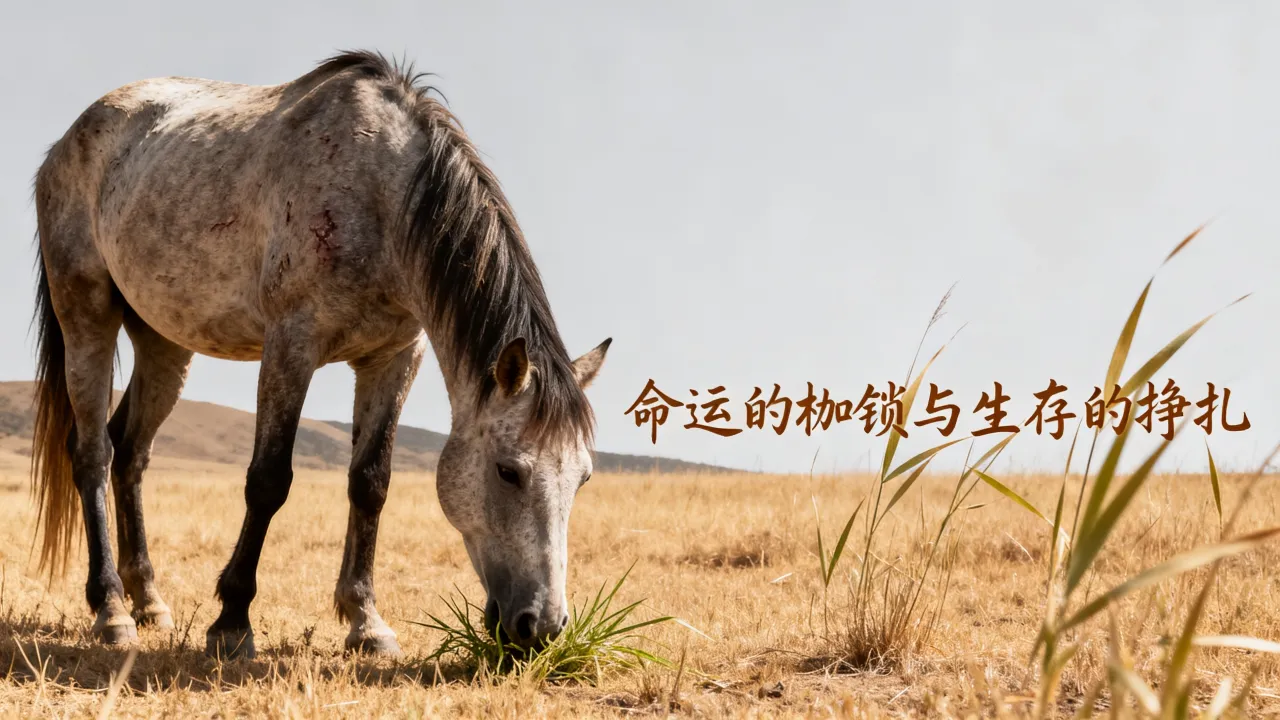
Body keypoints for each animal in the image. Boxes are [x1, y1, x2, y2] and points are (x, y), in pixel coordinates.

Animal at [29, 50, 610, 659]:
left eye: (583, 478)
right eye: (507, 472)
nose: (541, 626)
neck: (382, 194)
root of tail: (68, 141)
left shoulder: (394, 358)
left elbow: (370, 483)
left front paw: (366, 621)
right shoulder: (292, 345)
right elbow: (268, 480)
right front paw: (232, 621)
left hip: (164, 342)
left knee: (131, 452)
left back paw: (149, 602)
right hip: (86, 312)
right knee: (93, 453)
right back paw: (112, 610)